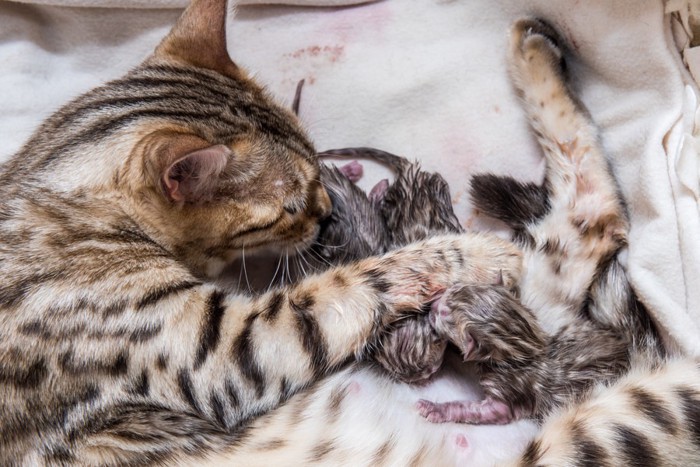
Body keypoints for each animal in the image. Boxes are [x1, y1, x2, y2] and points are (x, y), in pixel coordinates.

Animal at [0, 0, 524, 464]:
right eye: (289, 207)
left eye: (315, 163)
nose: (327, 211)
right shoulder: (230, 351)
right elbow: (362, 281)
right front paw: (478, 253)